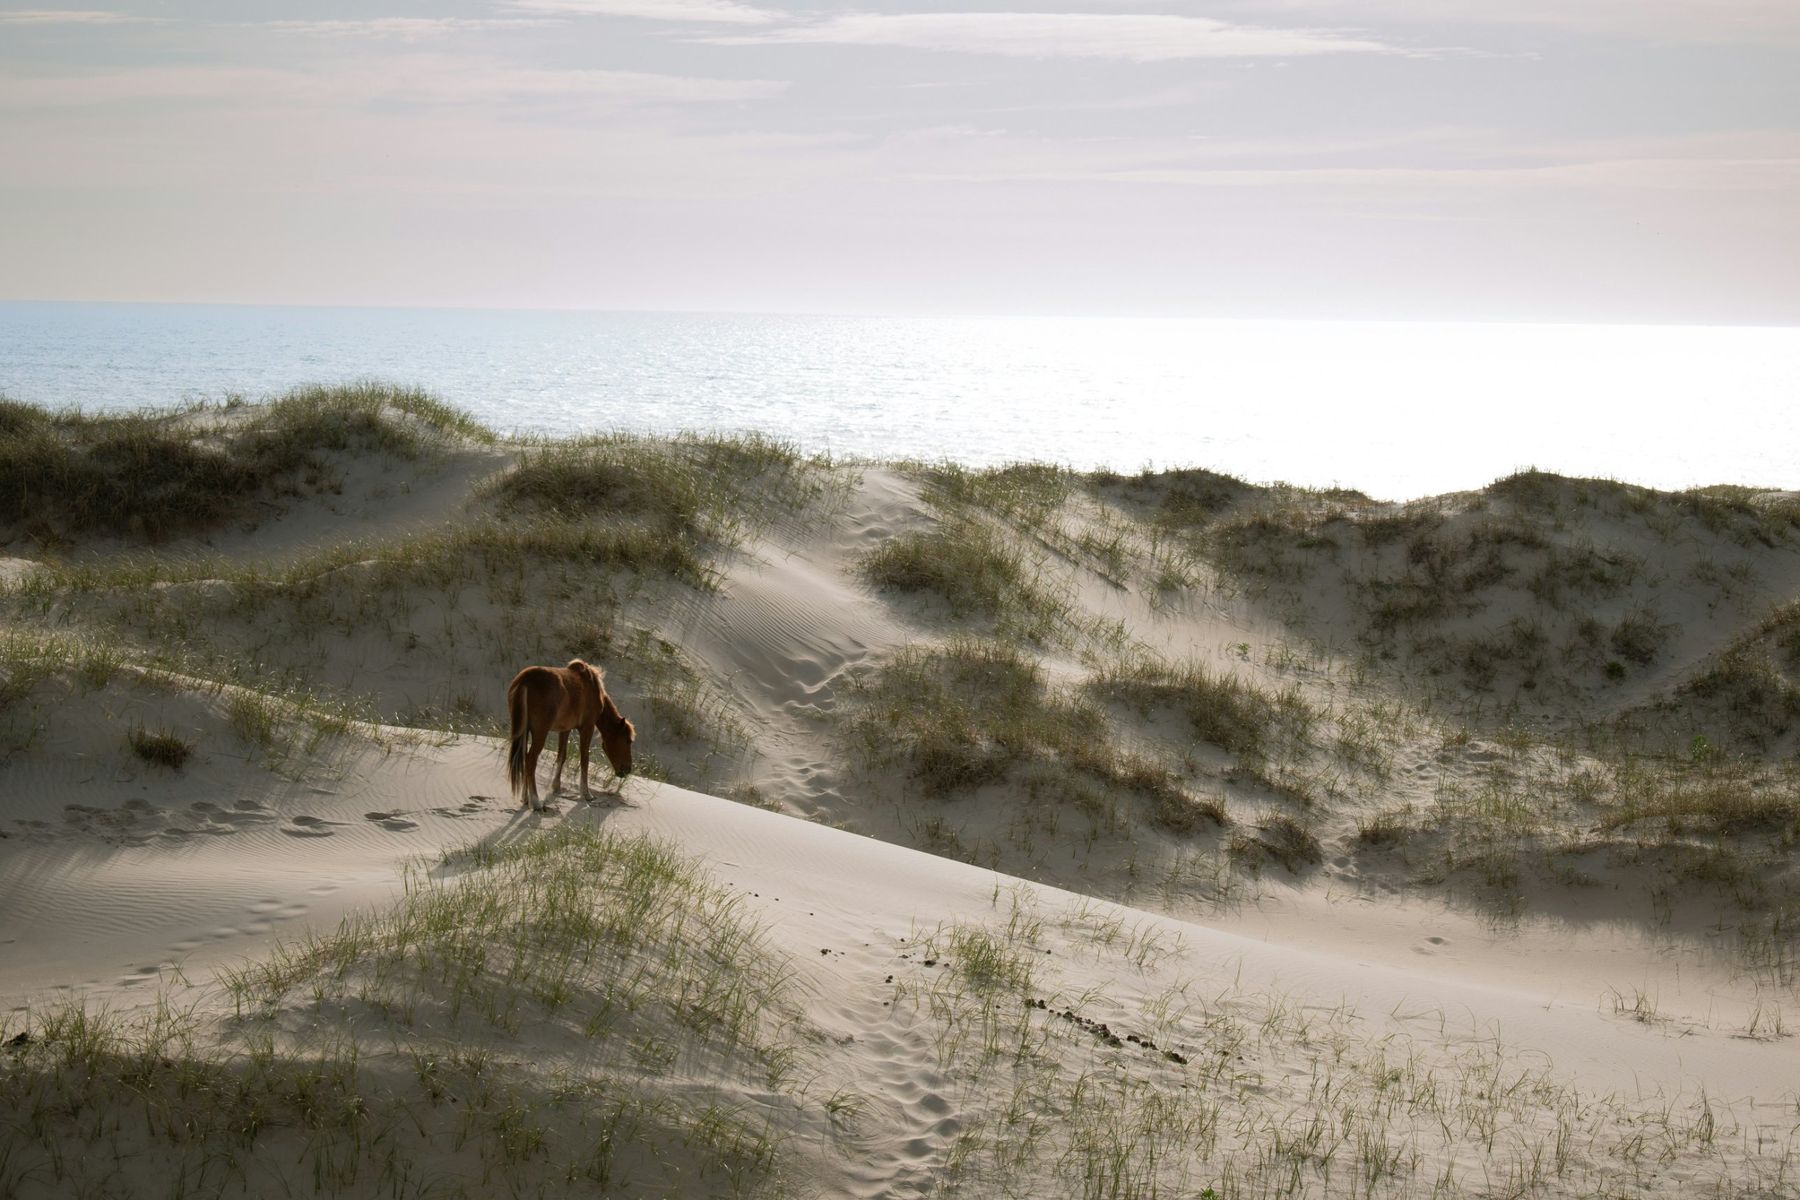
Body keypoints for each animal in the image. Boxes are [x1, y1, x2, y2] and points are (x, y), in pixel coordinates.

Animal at [506, 659, 636, 811]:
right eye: (627, 740)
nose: (627, 769)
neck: (592, 688)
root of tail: (525, 680)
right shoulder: (587, 728)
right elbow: (584, 760)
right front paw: (586, 793)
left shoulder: (565, 730)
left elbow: (561, 757)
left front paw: (556, 786)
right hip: (540, 732)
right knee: (531, 760)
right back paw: (536, 802)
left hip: (524, 730)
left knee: (525, 759)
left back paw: (526, 798)